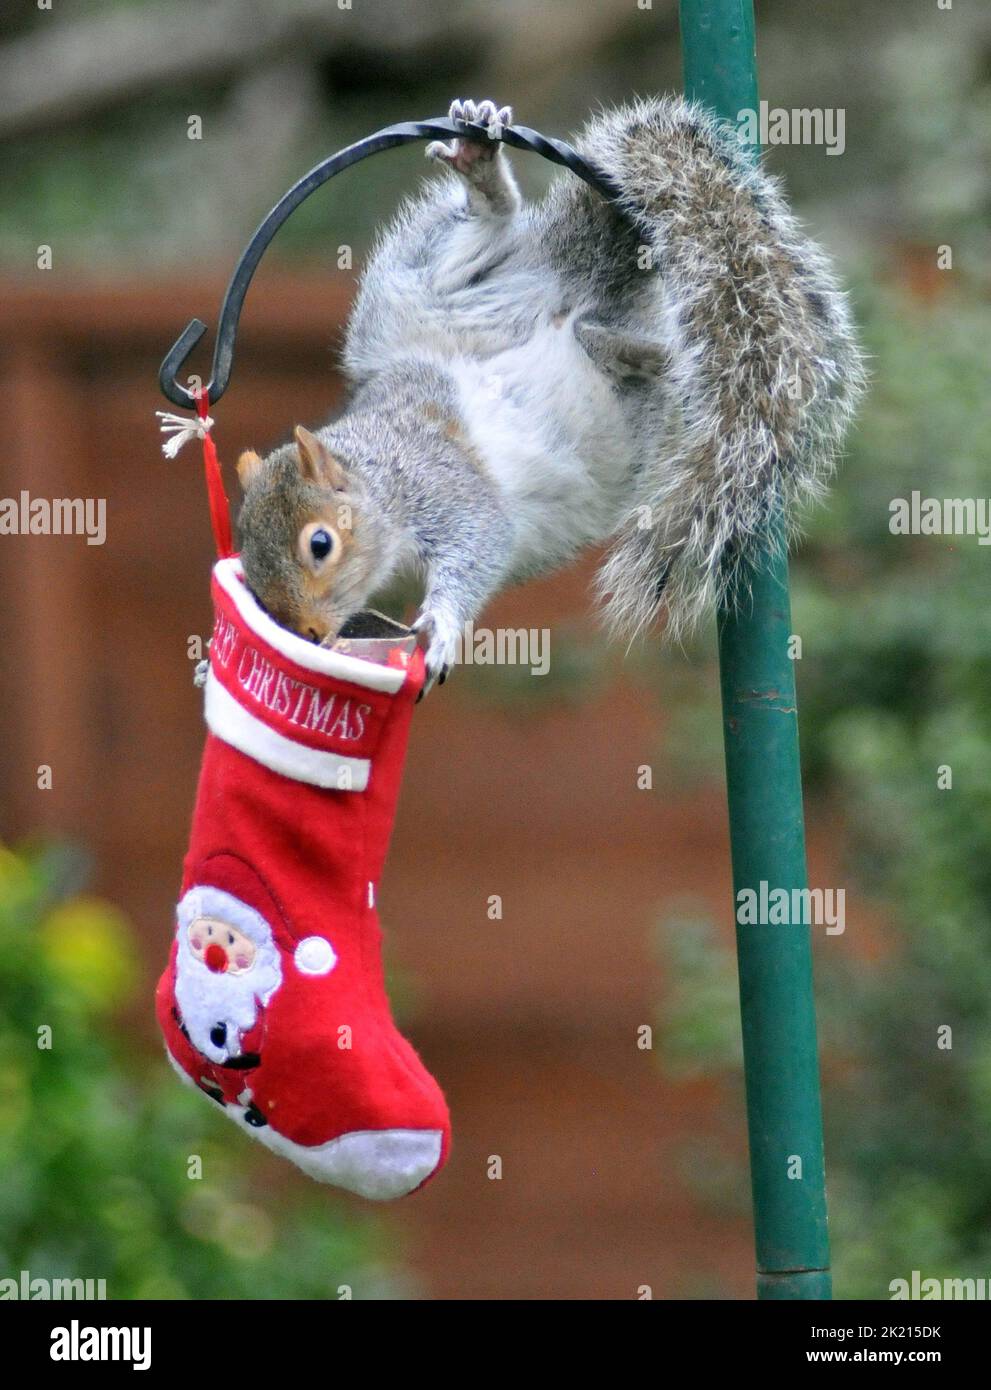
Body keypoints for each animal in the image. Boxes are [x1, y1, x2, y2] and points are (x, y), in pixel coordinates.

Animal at [236, 92, 861, 689]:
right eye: (249, 559)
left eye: (320, 545)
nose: (305, 631)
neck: (375, 474)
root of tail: (577, 288)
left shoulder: (439, 478)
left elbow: (480, 536)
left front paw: (441, 627)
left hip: (430, 287)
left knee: (502, 231)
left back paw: (489, 181)